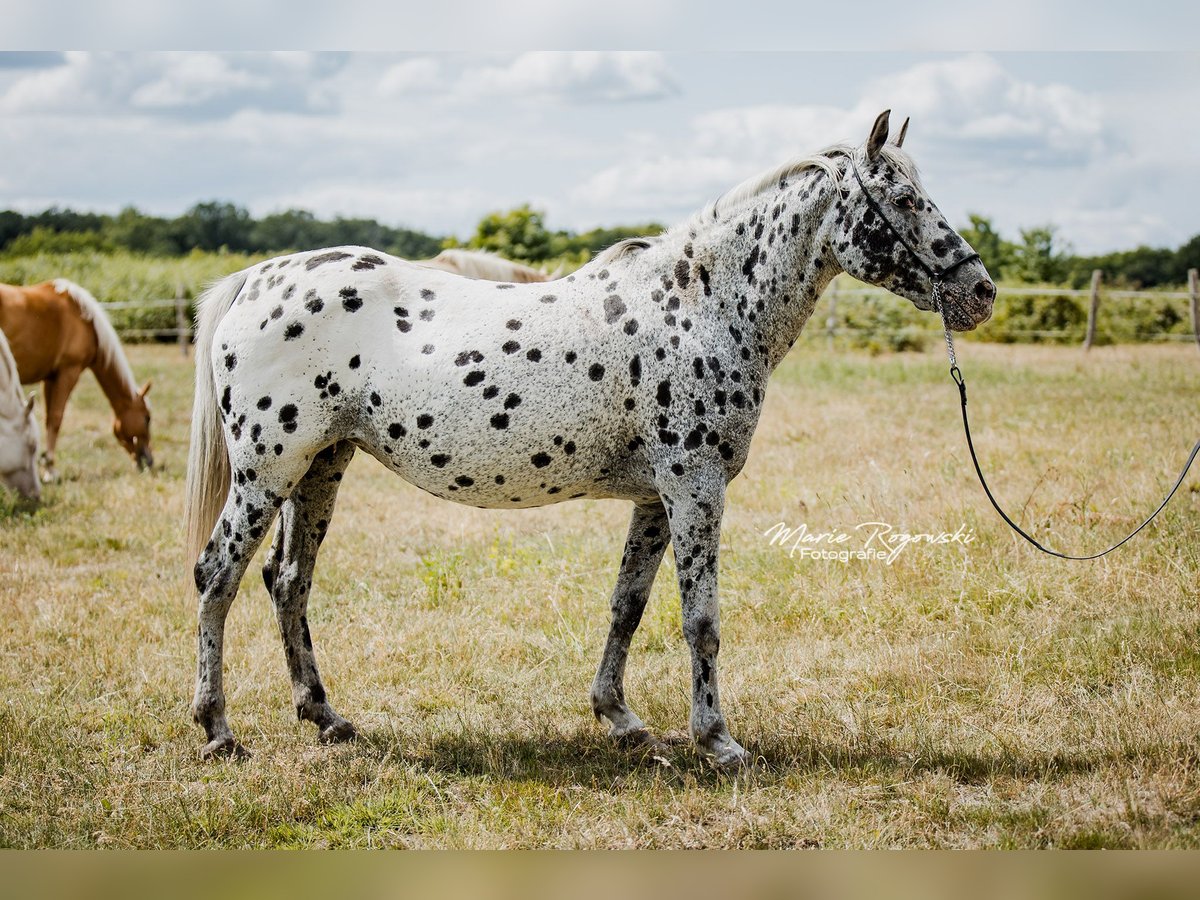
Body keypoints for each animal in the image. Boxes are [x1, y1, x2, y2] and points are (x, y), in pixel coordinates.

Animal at [0, 279, 153, 480]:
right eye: (147, 419)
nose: (149, 461)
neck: (86, 321)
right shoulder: (69, 371)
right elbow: (56, 418)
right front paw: (50, 469)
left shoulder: (50, 378)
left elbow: (48, 418)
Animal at [184, 111, 995, 765]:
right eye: (903, 200)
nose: (980, 291)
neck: (703, 304)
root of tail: (259, 279)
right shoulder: (695, 488)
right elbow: (702, 621)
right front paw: (718, 742)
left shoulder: (655, 499)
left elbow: (627, 606)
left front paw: (621, 719)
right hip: (266, 473)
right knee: (217, 575)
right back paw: (219, 730)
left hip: (320, 467)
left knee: (288, 581)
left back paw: (325, 717)